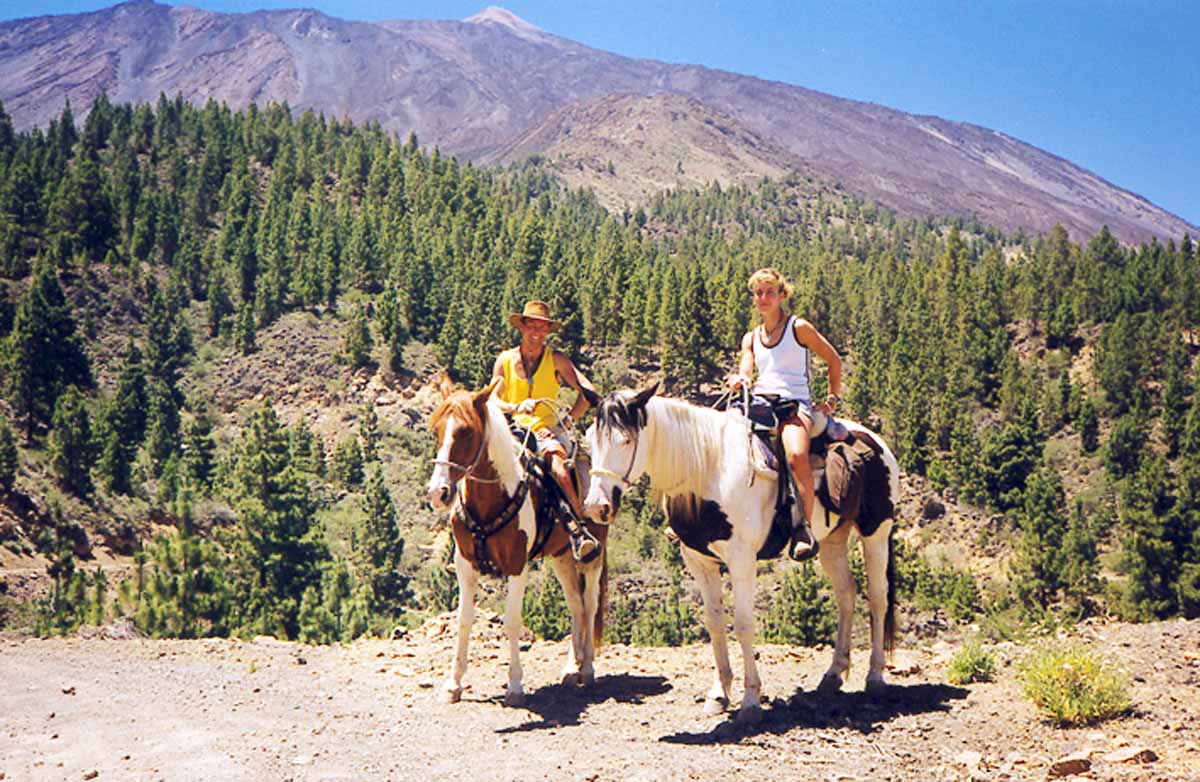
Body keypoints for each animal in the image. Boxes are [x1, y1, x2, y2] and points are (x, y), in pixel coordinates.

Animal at [424, 381, 609, 705]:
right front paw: (453, 684)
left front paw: (514, 685)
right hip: (561, 556)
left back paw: (586, 668)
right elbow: (463, 620)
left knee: (589, 603)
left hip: (592, 557)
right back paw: (570, 669)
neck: (492, 497)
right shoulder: (465, 564)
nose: (438, 493)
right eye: (436, 429)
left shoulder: (516, 565)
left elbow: (511, 621)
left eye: (466, 432)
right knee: (575, 604)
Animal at [580, 383, 902, 719]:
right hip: (832, 542)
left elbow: (745, 624)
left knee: (878, 596)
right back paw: (834, 673)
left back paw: (875, 676)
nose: (596, 507)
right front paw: (719, 694)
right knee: (846, 594)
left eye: (626, 440)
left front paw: (750, 700)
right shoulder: (698, 560)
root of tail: (873, 438)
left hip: (877, 531)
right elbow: (714, 622)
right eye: (589, 438)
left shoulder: (742, 560)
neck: (709, 471)